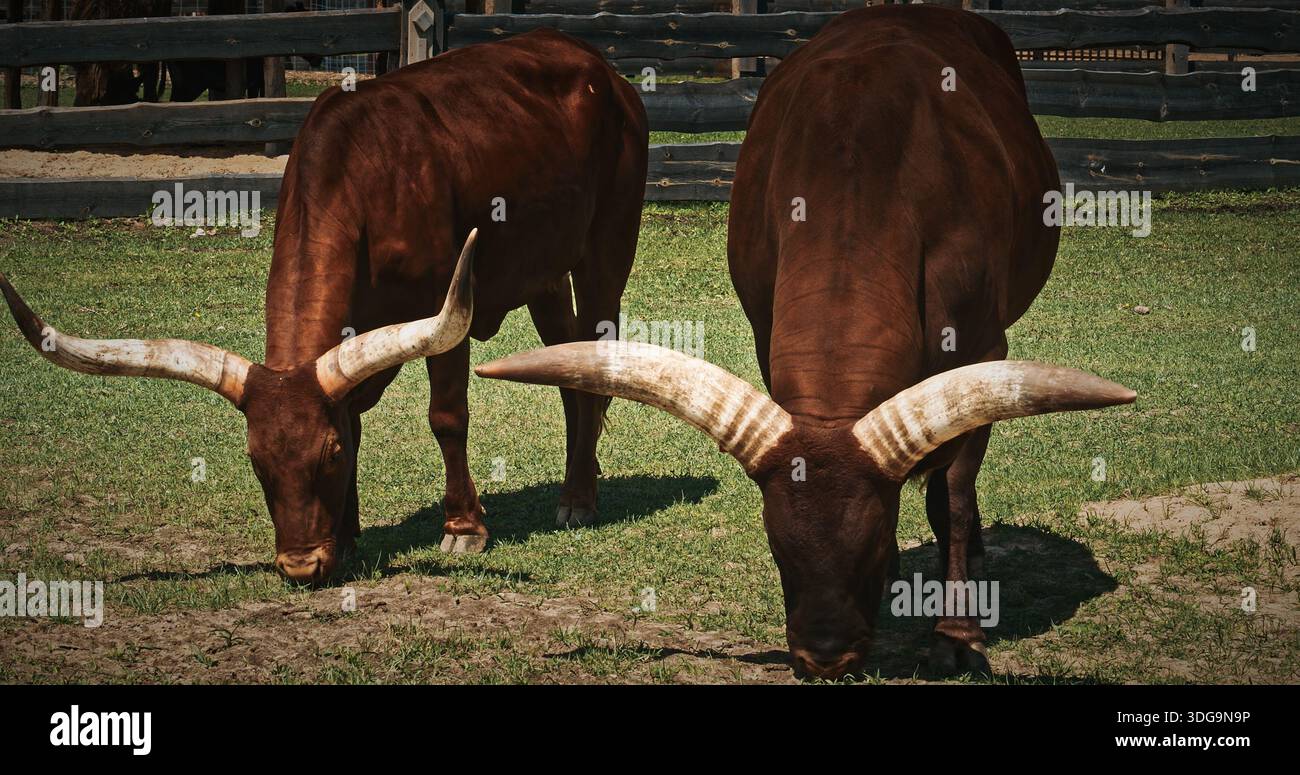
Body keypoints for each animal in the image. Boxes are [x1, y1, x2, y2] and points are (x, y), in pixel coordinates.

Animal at [2, 29, 648, 584]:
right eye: (256, 461)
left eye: (327, 457)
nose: (300, 565)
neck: (361, 177)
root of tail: (599, 66)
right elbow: (353, 415)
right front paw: (349, 532)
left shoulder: (445, 311)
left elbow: (446, 416)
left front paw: (464, 528)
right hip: (542, 273)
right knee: (569, 368)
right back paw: (579, 484)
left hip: (605, 250)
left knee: (600, 349)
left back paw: (579, 500)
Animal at [474, 5, 1135, 679]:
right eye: (776, 545)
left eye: (873, 540)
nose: (823, 657)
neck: (860, 171)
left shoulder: (984, 350)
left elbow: (952, 492)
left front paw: (956, 633)